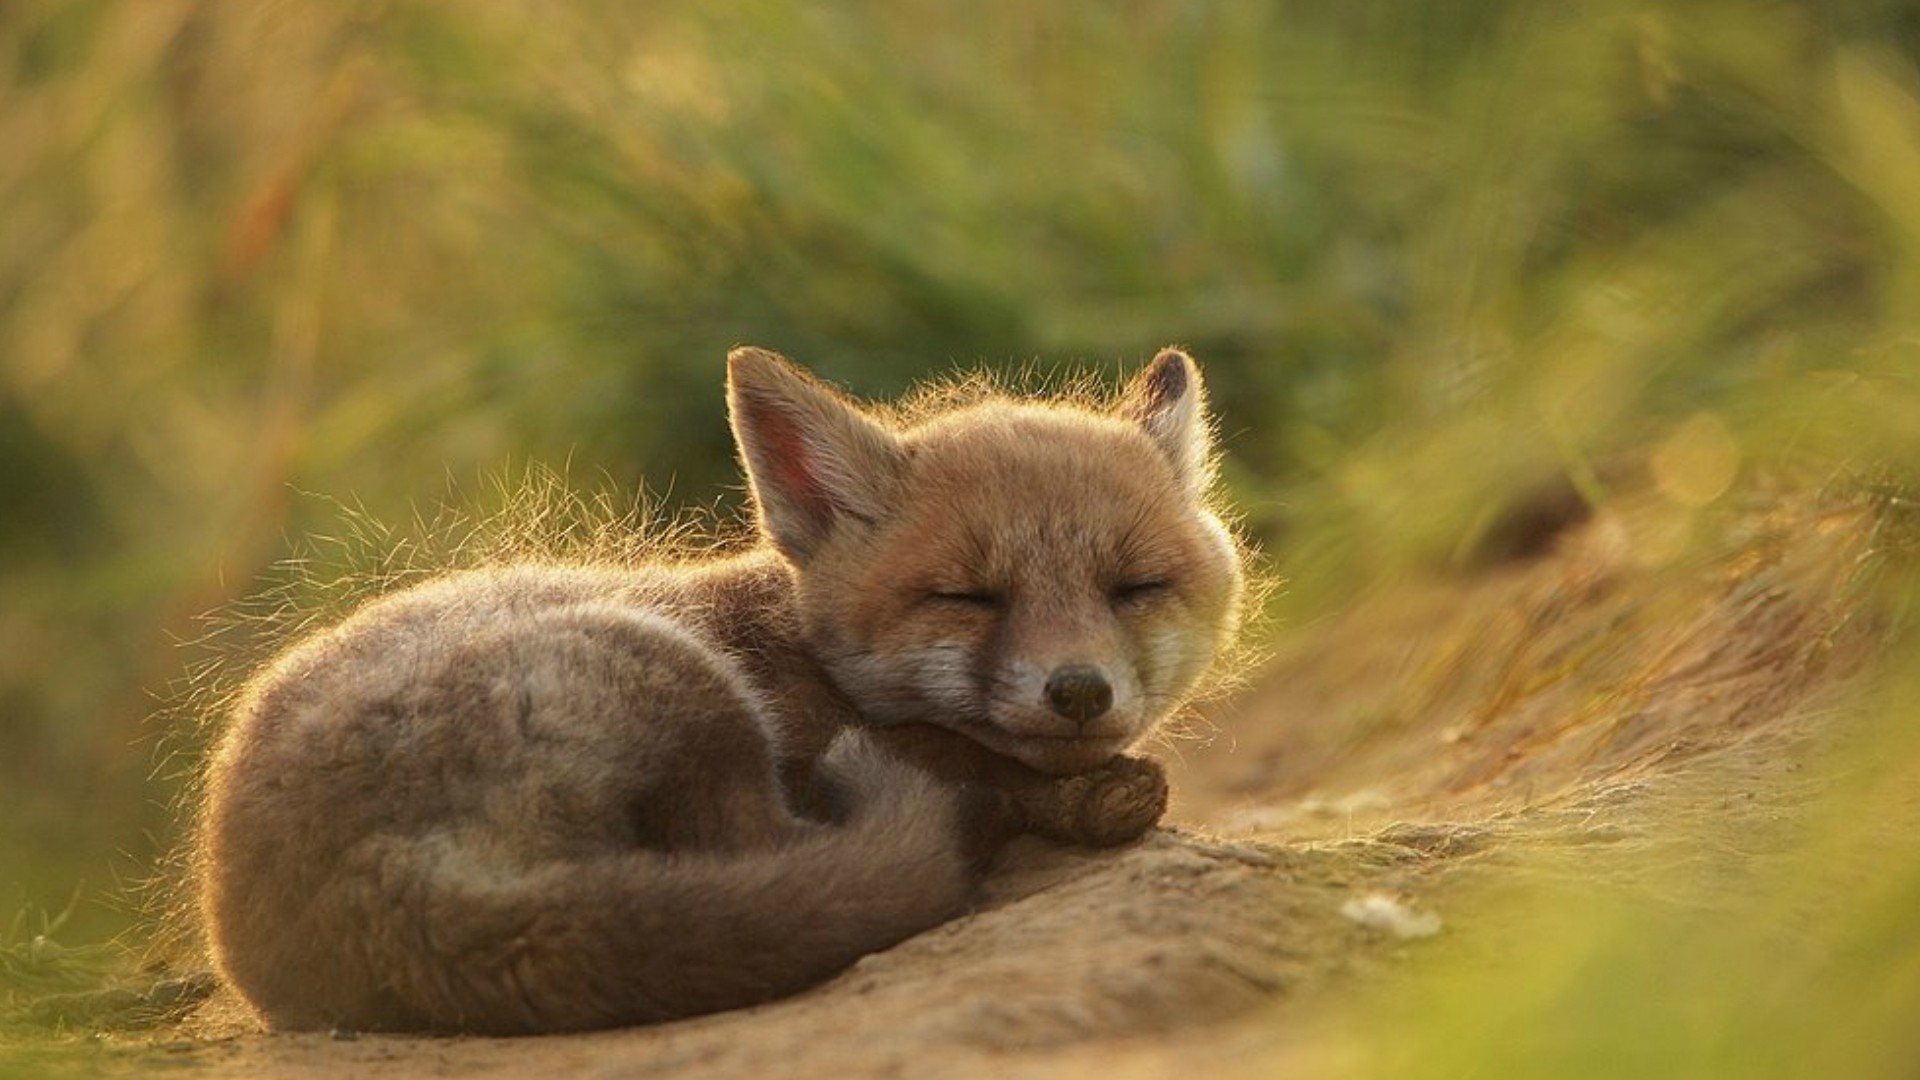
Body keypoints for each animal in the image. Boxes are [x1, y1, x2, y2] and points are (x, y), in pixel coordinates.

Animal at [197, 345, 1246, 1035]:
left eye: (1133, 587)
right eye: (966, 597)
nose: (1078, 692)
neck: (800, 652)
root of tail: (370, 876)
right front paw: (1077, 797)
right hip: (679, 678)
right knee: (783, 848)